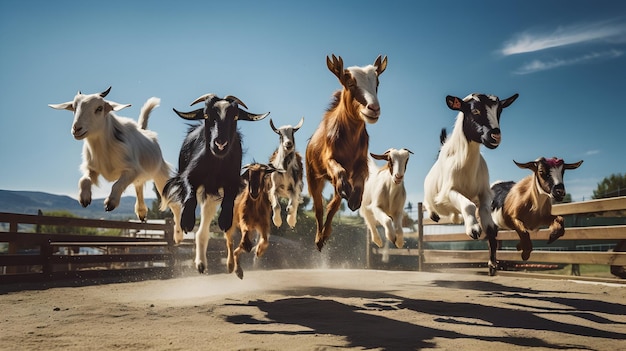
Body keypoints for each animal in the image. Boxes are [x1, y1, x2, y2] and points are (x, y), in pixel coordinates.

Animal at [49, 86, 182, 238]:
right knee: (139, 187)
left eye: (99, 108)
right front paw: (84, 199)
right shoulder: (92, 168)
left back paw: (178, 236)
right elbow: (84, 180)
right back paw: (142, 213)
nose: (77, 129)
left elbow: (117, 184)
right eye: (74, 107)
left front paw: (110, 203)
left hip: (160, 174)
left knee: (175, 204)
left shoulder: (132, 170)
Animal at [161, 93, 268, 272]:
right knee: (177, 202)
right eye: (206, 115)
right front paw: (187, 222)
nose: (220, 144)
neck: (216, 163)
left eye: (235, 116)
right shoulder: (189, 175)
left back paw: (201, 264)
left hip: (210, 197)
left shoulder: (233, 181)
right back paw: (179, 235)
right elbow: (189, 194)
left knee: (203, 230)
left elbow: (229, 198)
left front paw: (224, 221)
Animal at [304, 53, 386, 252]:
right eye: (349, 83)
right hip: (313, 177)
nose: (374, 108)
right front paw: (349, 192)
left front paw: (355, 199)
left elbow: (359, 179)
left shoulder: (362, 163)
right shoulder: (329, 159)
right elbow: (338, 170)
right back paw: (319, 239)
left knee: (333, 205)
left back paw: (327, 233)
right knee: (319, 206)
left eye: (377, 83)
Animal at [422, 93, 520, 242]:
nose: (495, 136)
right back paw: (433, 214)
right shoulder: (448, 191)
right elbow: (468, 205)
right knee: (427, 202)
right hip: (431, 196)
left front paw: (489, 227)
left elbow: (485, 208)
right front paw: (473, 229)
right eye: (475, 111)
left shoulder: (485, 190)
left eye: (499, 111)